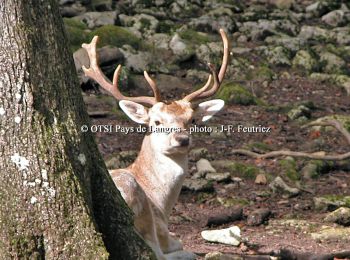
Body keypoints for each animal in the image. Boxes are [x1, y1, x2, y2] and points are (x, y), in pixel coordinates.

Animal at [81, 29, 230, 258]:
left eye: (192, 120)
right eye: (156, 122)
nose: (182, 139)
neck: (161, 203)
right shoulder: (162, 230)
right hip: (140, 206)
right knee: (156, 253)